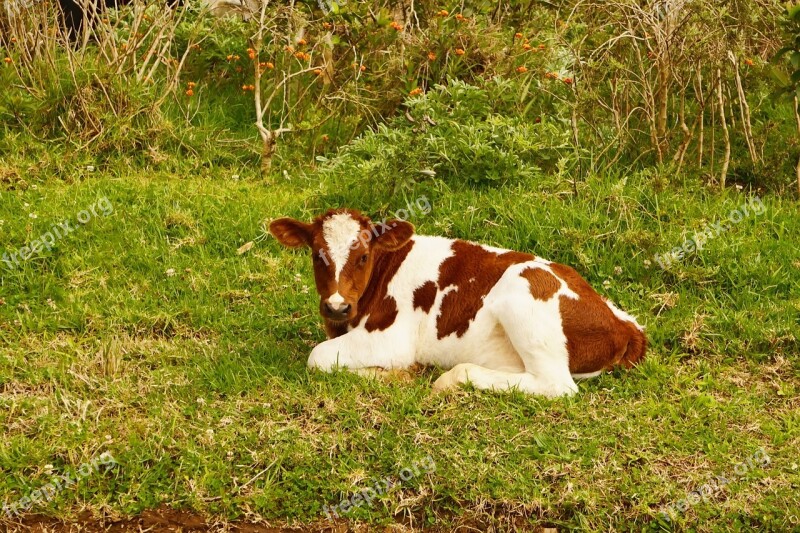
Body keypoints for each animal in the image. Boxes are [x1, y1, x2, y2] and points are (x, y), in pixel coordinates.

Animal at [268, 208, 644, 394]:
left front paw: (400, 374)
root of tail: (624, 323)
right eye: (316, 255)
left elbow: (316, 357)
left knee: (556, 385)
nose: (336, 306)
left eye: (362, 257)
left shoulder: (390, 339)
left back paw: (448, 379)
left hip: (522, 296)